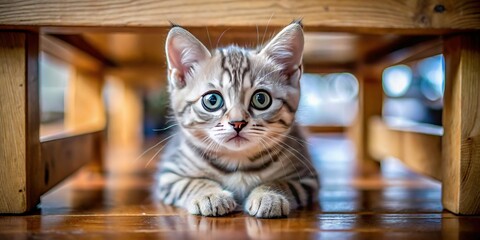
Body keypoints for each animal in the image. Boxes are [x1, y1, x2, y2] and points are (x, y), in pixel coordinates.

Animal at [158, 21, 320, 218]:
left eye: (261, 99)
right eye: (212, 100)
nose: (237, 123)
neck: (238, 162)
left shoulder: (306, 178)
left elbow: (282, 183)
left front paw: (269, 195)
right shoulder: (170, 175)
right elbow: (192, 183)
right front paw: (210, 195)